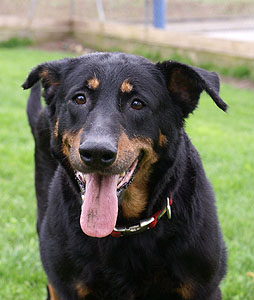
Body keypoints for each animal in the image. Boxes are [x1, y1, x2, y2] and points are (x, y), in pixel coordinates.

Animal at [22, 52, 227, 298]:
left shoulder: (204, 287)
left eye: (137, 104)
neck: (125, 226)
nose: (97, 152)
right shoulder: (66, 286)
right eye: (79, 99)